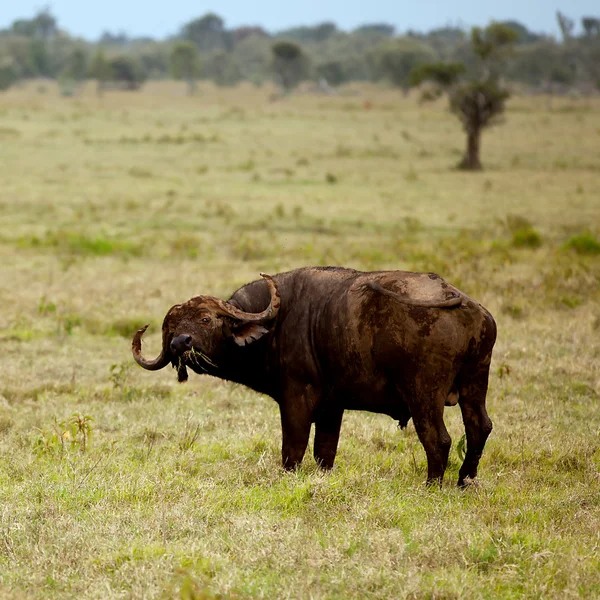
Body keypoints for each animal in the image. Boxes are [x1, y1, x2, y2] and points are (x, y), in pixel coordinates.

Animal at [132, 268, 496, 488]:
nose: (180, 344)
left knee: (439, 439)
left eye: (206, 319)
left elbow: (293, 448)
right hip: (475, 384)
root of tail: (462, 303)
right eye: (172, 329)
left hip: (423, 394)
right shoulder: (332, 407)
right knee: (479, 427)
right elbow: (325, 451)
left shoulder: (296, 398)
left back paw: (432, 485)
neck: (275, 323)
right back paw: (464, 481)